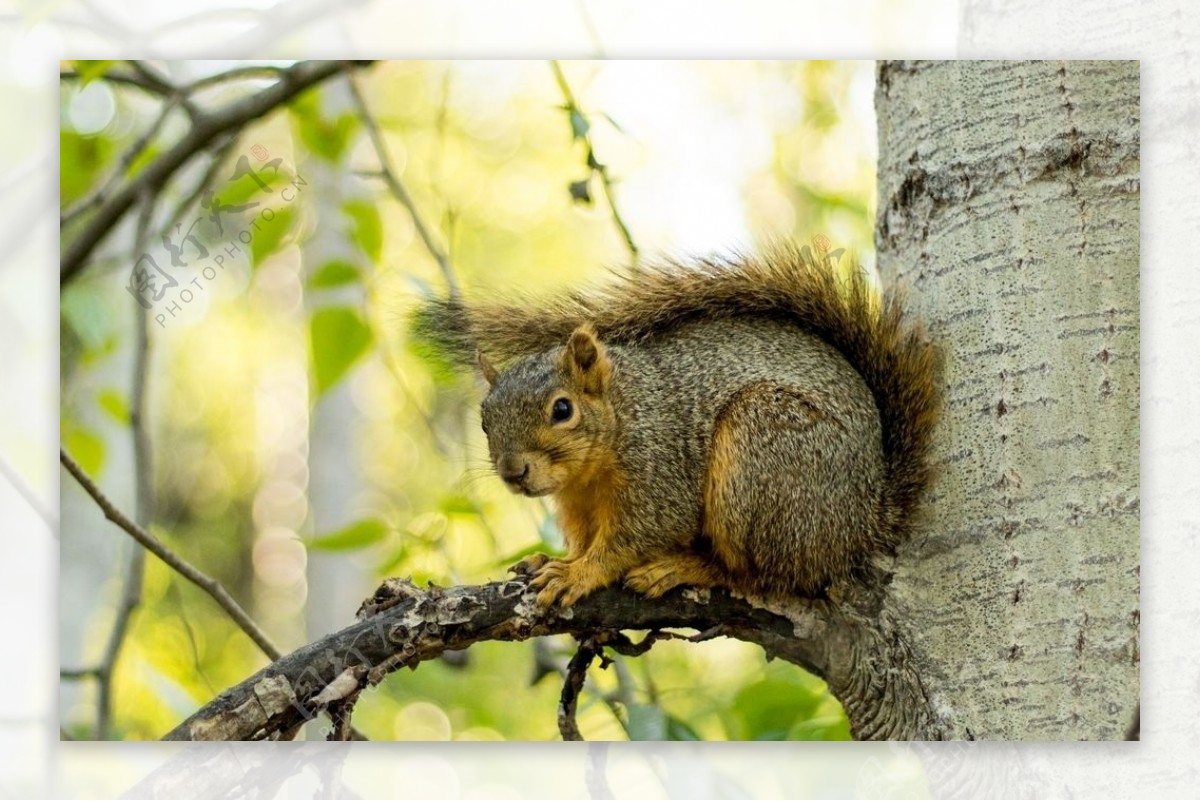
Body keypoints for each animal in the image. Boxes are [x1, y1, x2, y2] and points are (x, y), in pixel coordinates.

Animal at [417, 250, 940, 606]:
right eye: (484, 420)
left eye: (562, 410)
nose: (513, 472)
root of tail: (864, 523)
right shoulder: (577, 506)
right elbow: (585, 540)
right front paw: (560, 561)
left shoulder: (660, 476)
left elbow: (633, 539)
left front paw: (579, 574)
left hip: (762, 458)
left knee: (761, 577)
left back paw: (682, 569)